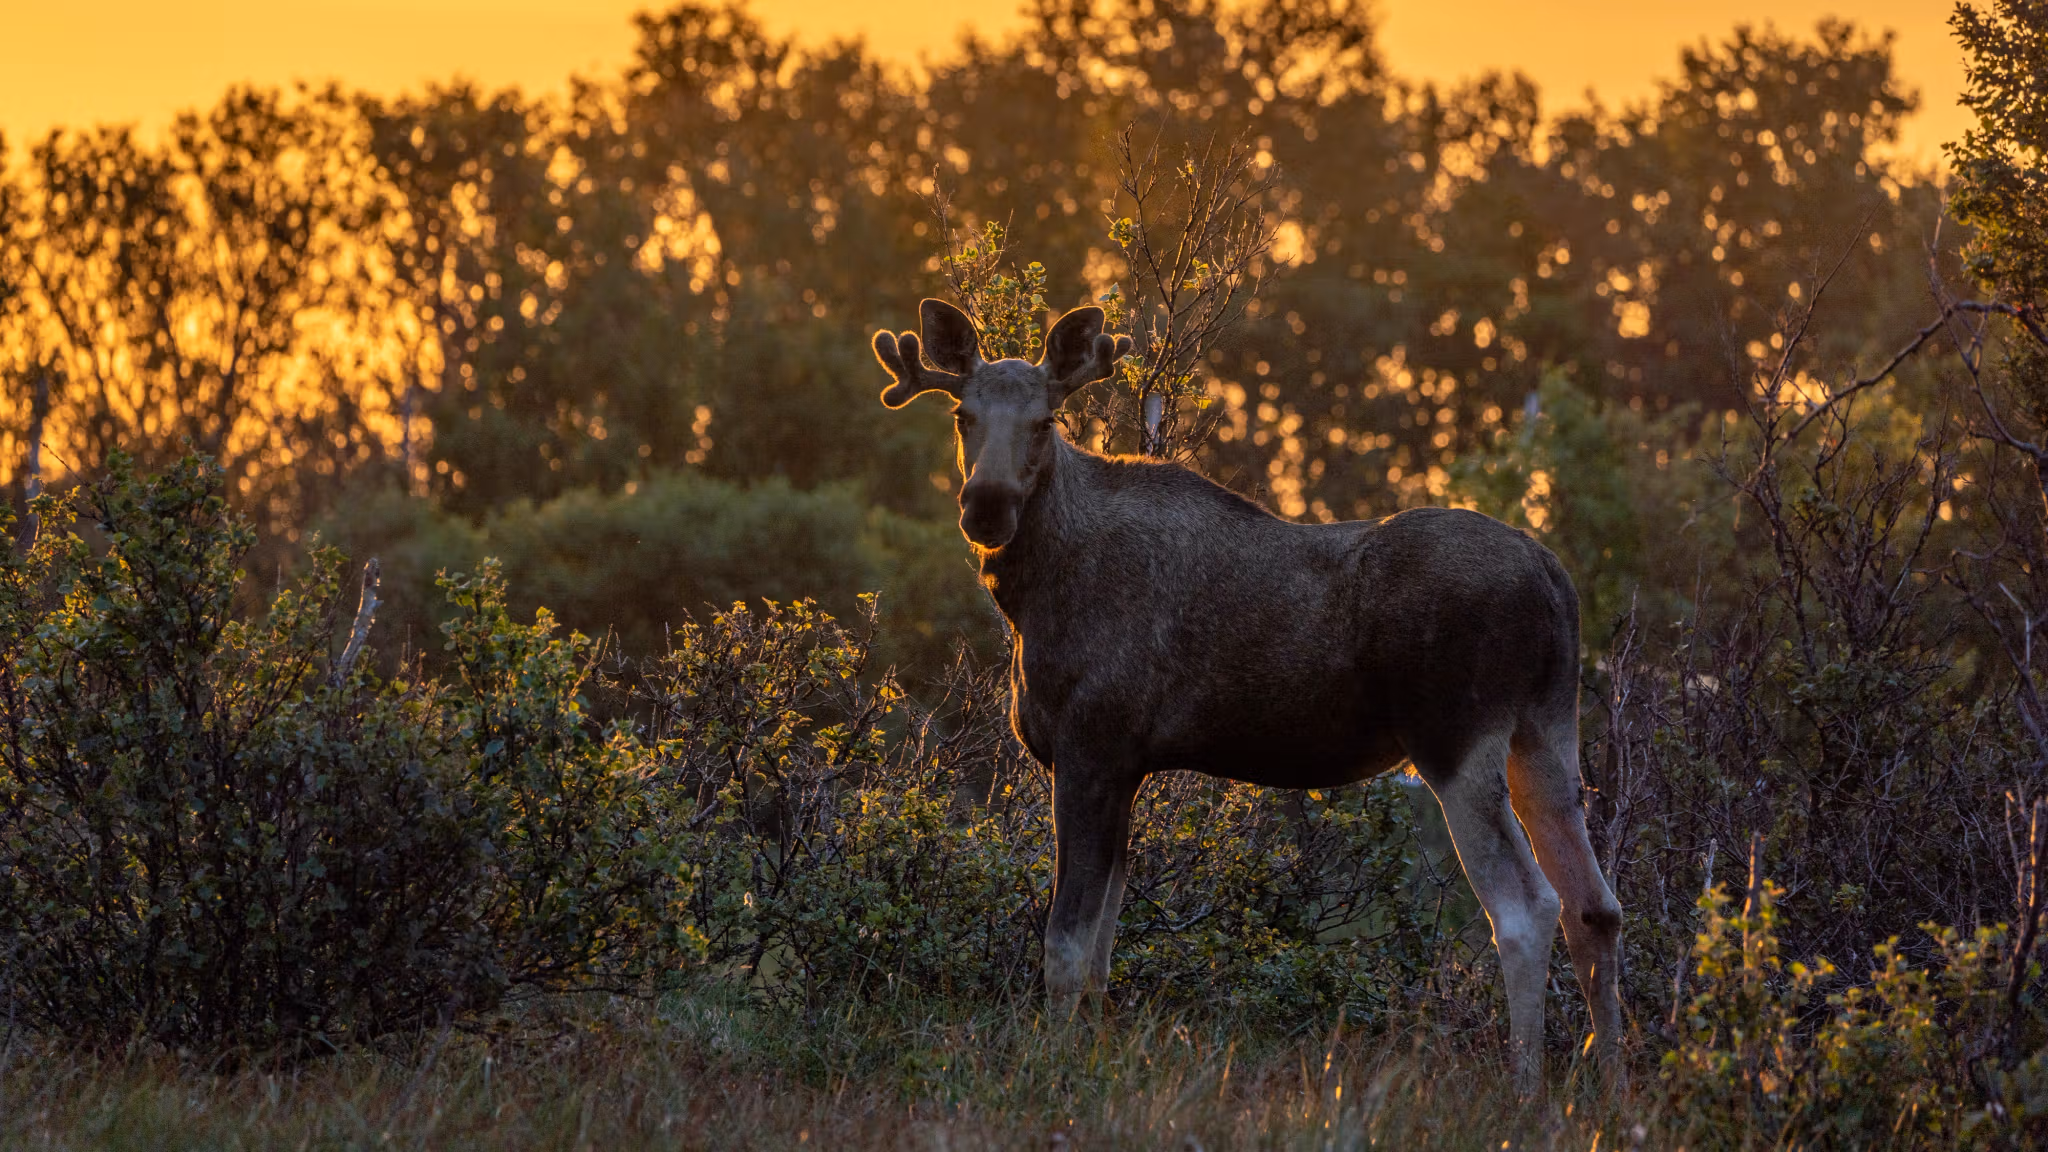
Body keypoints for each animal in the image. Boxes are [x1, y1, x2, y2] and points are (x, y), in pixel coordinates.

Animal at [870, 298, 1626, 1094]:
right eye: (963, 415)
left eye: (1046, 421)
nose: (985, 506)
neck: (1033, 595)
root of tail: (1552, 577)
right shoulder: (1127, 765)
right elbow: (1105, 948)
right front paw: (1091, 1055)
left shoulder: (1091, 747)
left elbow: (1066, 944)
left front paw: (1051, 1064)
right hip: (1545, 729)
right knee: (1595, 905)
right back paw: (1610, 1080)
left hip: (1456, 737)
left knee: (1527, 907)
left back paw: (1526, 1086)